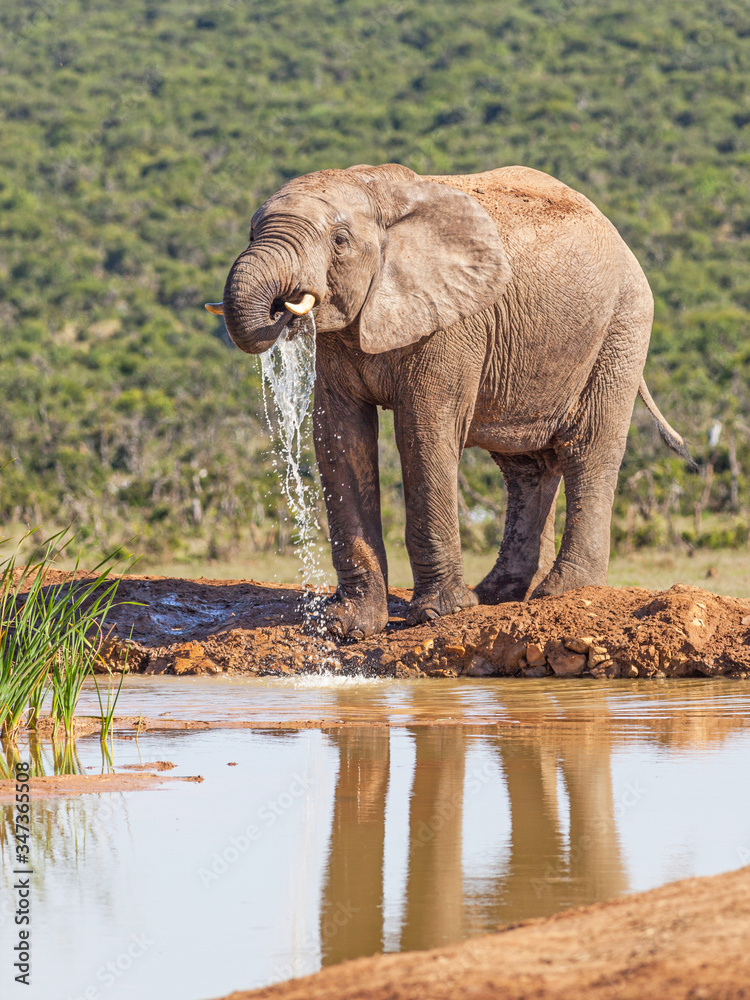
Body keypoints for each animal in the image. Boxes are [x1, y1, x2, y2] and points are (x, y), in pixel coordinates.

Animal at [207, 162, 690, 639]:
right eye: (251, 233)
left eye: (340, 241)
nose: (280, 307)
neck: (373, 188)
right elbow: (340, 439)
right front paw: (347, 627)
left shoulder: (454, 322)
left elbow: (423, 432)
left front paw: (438, 614)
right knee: (526, 466)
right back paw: (499, 595)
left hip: (622, 327)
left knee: (588, 449)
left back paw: (560, 592)